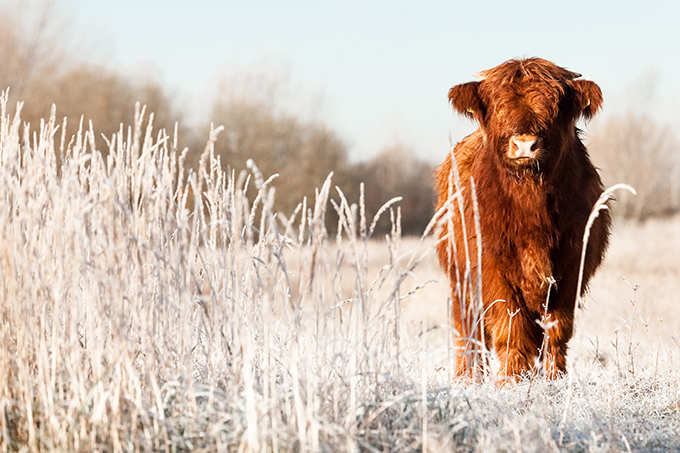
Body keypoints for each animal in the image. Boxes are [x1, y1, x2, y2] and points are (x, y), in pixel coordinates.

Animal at [436, 56, 612, 382]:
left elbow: (557, 330)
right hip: (460, 281)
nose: (525, 145)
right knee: (468, 331)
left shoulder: (571, 270)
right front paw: (511, 381)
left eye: (555, 106)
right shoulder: (491, 270)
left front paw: (555, 378)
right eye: (498, 106)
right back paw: (467, 376)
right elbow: (510, 327)